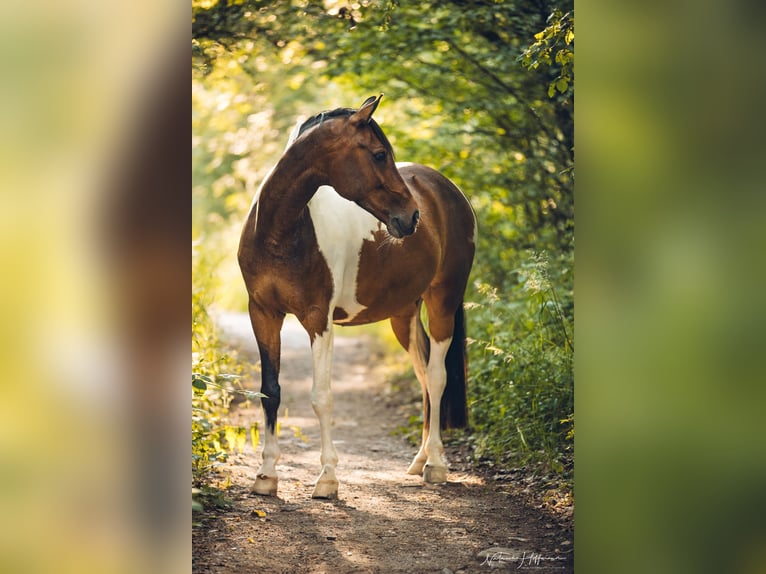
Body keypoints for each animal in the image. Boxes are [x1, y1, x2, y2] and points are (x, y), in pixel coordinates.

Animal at [240, 94, 476, 500]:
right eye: (379, 155)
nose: (412, 217)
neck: (279, 232)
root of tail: (448, 189)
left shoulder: (318, 320)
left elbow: (321, 397)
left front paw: (327, 479)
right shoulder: (263, 314)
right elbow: (270, 392)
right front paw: (266, 476)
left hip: (443, 301)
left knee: (436, 376)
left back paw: (436, 465)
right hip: (404, 314)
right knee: (423, 373)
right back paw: (419, 461)